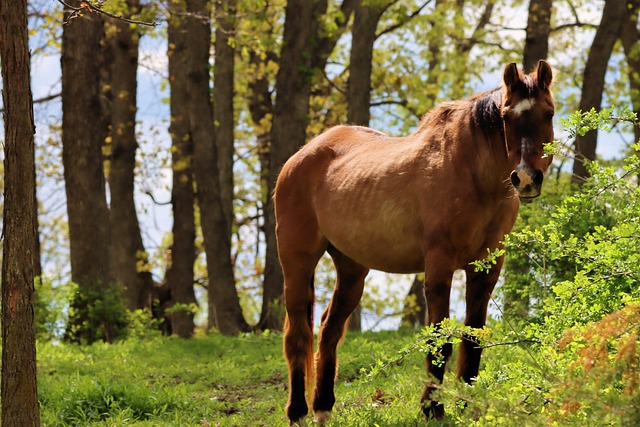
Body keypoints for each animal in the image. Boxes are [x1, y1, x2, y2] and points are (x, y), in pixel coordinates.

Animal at [275, 60, 555, 424]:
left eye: (548, 113)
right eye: (507, 117)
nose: (525, 177)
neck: (472, 175)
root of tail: (300, 158)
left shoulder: (486, 268)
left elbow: (472, 339)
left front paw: (468, 408)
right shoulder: (439, 266)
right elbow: (439, 341)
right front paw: (432, 407)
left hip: (351, 269)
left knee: (329, 329)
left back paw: (323, 408)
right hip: (297, 261)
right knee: (298, 334)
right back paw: (298, 412)